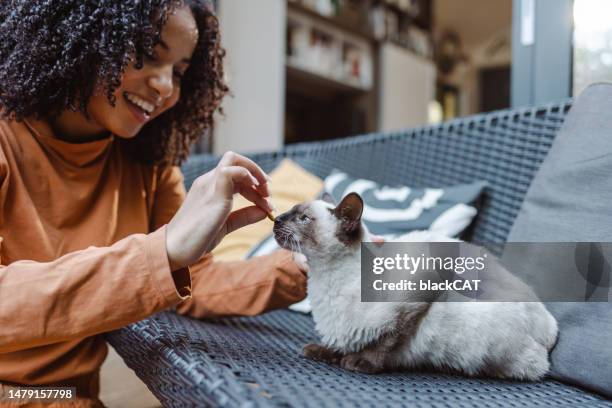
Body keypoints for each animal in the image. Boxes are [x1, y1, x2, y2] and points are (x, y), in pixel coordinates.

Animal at [272, 193, 560, 380]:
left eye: (303, 218)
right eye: (290, 214)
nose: (276, 219)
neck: (324, 281)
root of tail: (549, 324)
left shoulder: (415, 296)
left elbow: (386, 341)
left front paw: (359, 362)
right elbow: (344, 342)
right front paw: (326, 352)